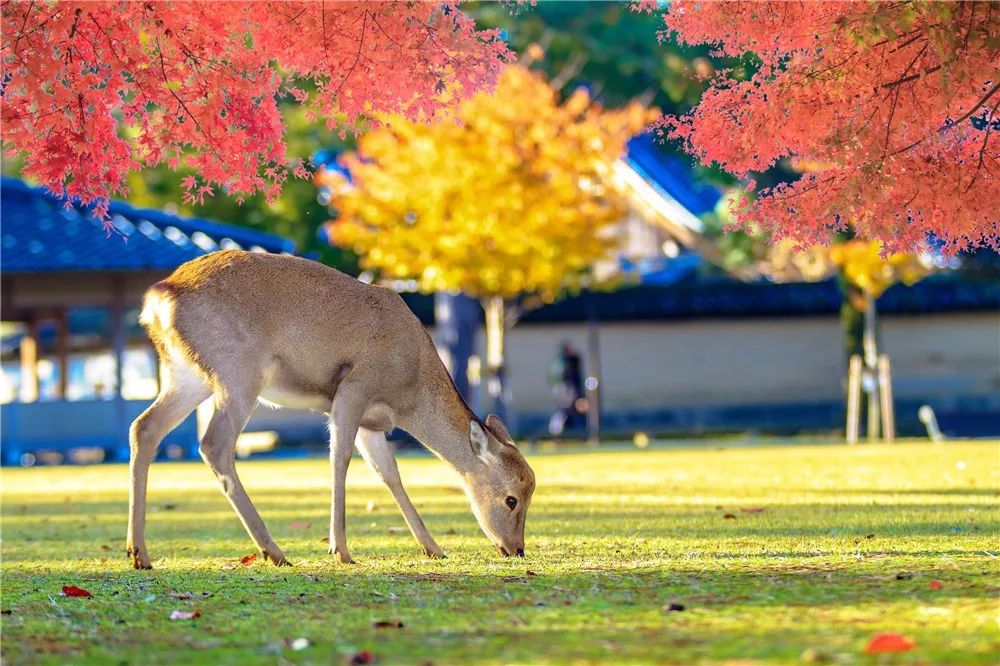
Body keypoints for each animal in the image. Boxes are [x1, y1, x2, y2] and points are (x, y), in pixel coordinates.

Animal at [128, 246, 536, 568]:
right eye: (511, 499)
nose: (516, 549)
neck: (408, 392)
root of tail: (158, 298)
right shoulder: (353, 388)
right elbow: (339, 459)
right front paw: (340, 550)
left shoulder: (374, 424)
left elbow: (389, 473)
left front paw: (433, 547)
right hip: (238, 372)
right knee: (214, 444)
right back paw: (274, 552)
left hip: (187, 376)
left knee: (144, 427)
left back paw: (139, 554)